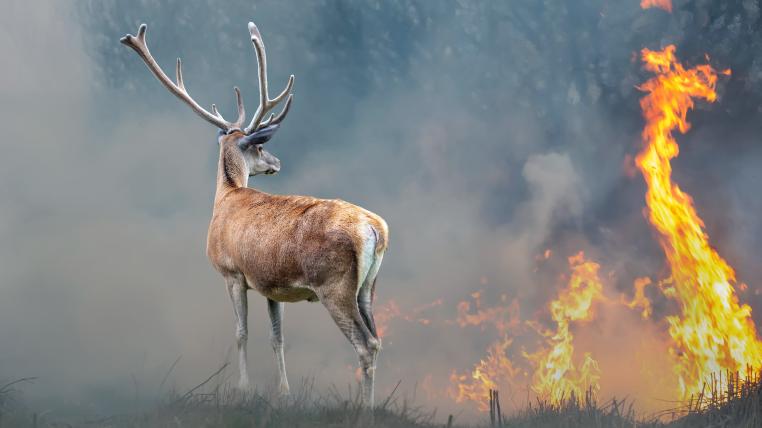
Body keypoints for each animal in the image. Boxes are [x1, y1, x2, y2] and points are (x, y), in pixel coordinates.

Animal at [120, 21, 388, 408]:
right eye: (260, 148)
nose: (277, 162)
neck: (226, 196)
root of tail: (375, 229)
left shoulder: (231, 271)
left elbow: (241, 332)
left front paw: (243, 389)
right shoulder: (271, 284)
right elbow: (276, 337)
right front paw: (284, 393)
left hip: (334, 284)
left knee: (365, 345)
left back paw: (365, 409)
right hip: (369, 286)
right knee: (377, 340)